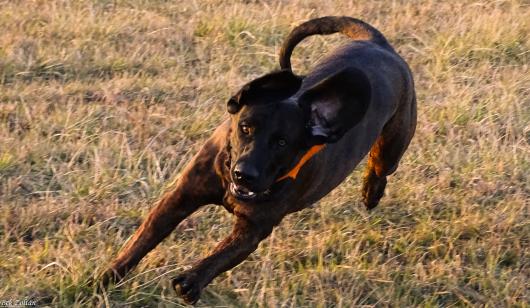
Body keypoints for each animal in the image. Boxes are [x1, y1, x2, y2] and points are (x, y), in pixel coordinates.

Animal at [98, 16, 412, 304]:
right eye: (245, 128)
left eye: (282, 143)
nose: (244, 174)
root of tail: (377, 42)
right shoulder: (180, 197)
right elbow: (142, 240)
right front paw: (106, 277)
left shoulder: (253, 229)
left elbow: (222, 254)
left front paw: (192, 280)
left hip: (393, 145)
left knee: (380, 168)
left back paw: (371, 192)